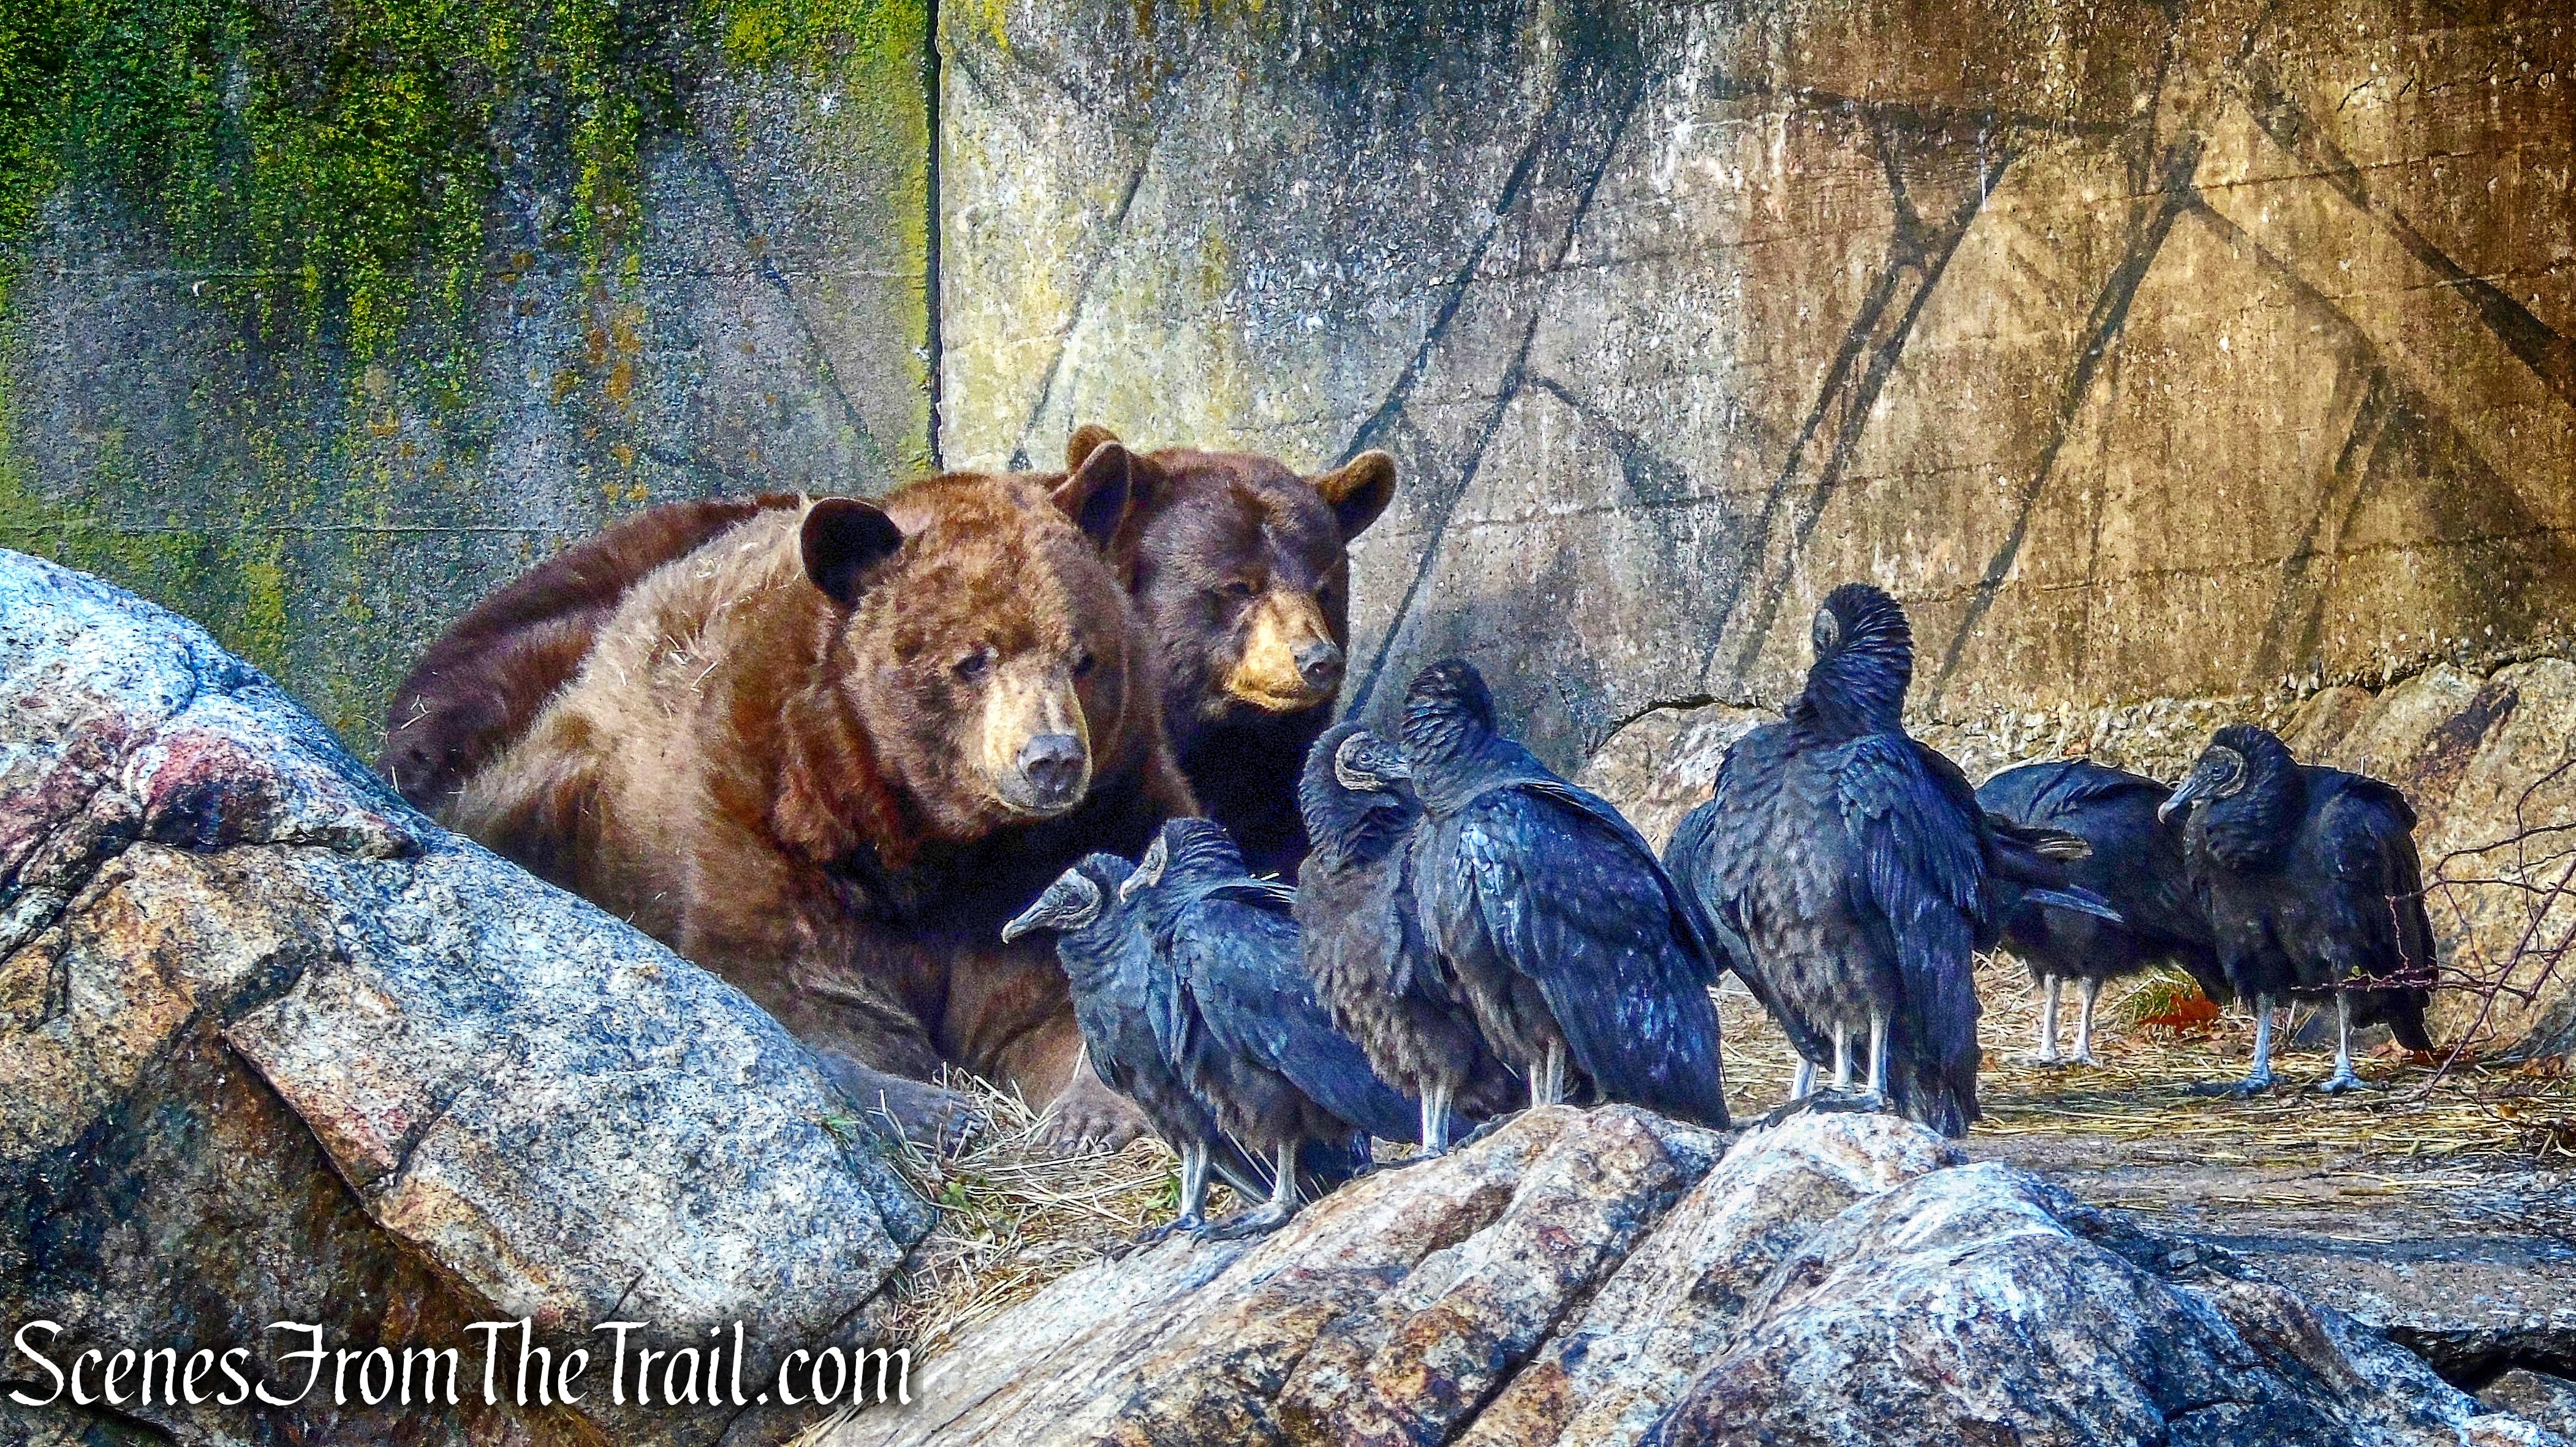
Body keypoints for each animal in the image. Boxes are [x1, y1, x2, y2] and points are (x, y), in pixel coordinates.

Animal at [438, 450, 1193, 1149]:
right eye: (972, 660)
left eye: (1083, 657)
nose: (1052, 759)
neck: (940, 847)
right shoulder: (781, 830)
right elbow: (818, 997)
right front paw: (935, 1106)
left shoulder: (1099, 827)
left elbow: (1065, 993)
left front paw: (1087, 1112)